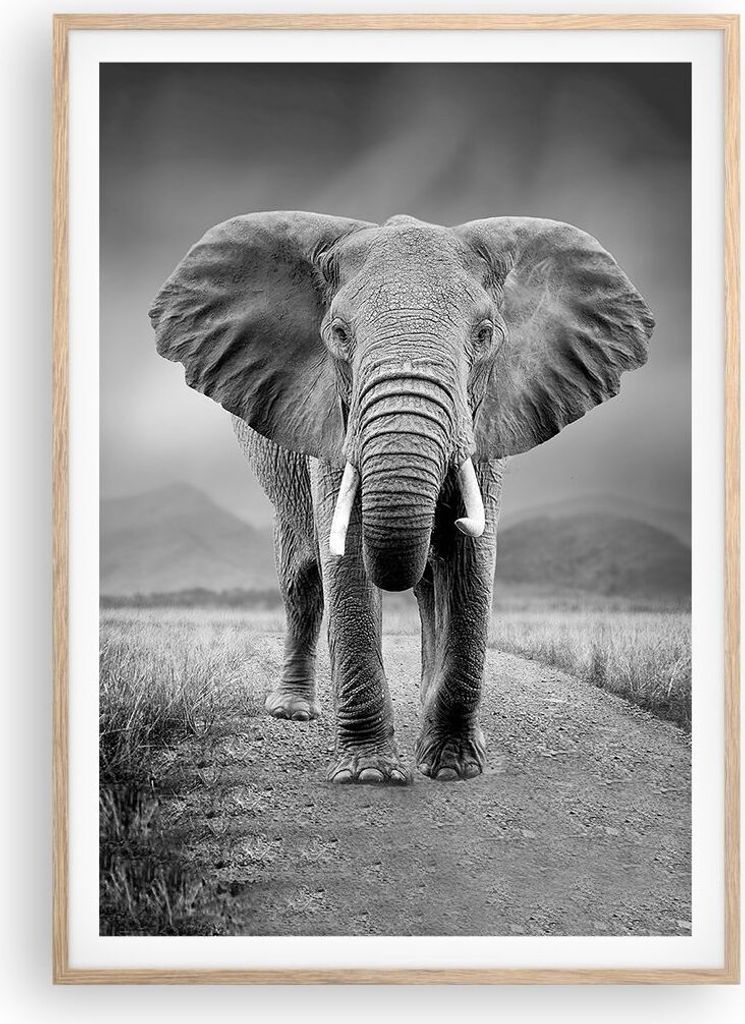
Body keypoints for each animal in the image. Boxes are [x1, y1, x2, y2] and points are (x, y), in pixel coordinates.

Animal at [150, 212, 654, 785]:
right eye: (338, 334)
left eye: (485, 335)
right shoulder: (333, 420)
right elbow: (343, 561)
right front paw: (369, 775)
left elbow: (472, 560)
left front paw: (454, 768)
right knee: (302, 577)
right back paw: (293, 711)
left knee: (430, 583)